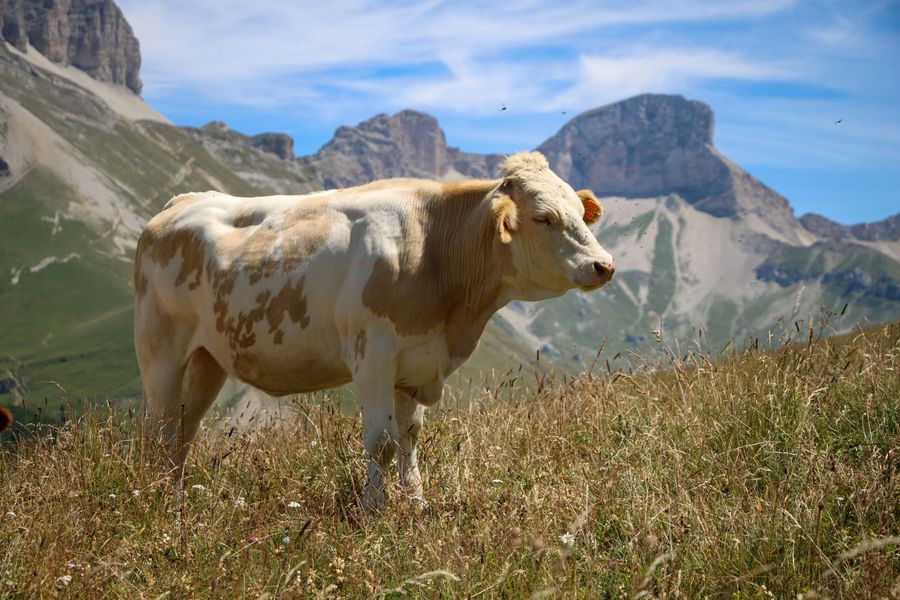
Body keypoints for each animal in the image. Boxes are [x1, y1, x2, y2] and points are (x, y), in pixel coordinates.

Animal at [133, 151, 614, 509]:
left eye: (580, 213)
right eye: (543, 218)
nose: (604, 264)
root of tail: (181, 203)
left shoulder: (416, 363)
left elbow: (409, 437)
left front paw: (416, 503)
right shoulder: (373, 357)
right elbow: (382, 443)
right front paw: (376, 510)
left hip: (208, 359)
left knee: (183, 431)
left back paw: (176, 498)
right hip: (160, 353)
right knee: (158, 431)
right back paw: (159, 504)